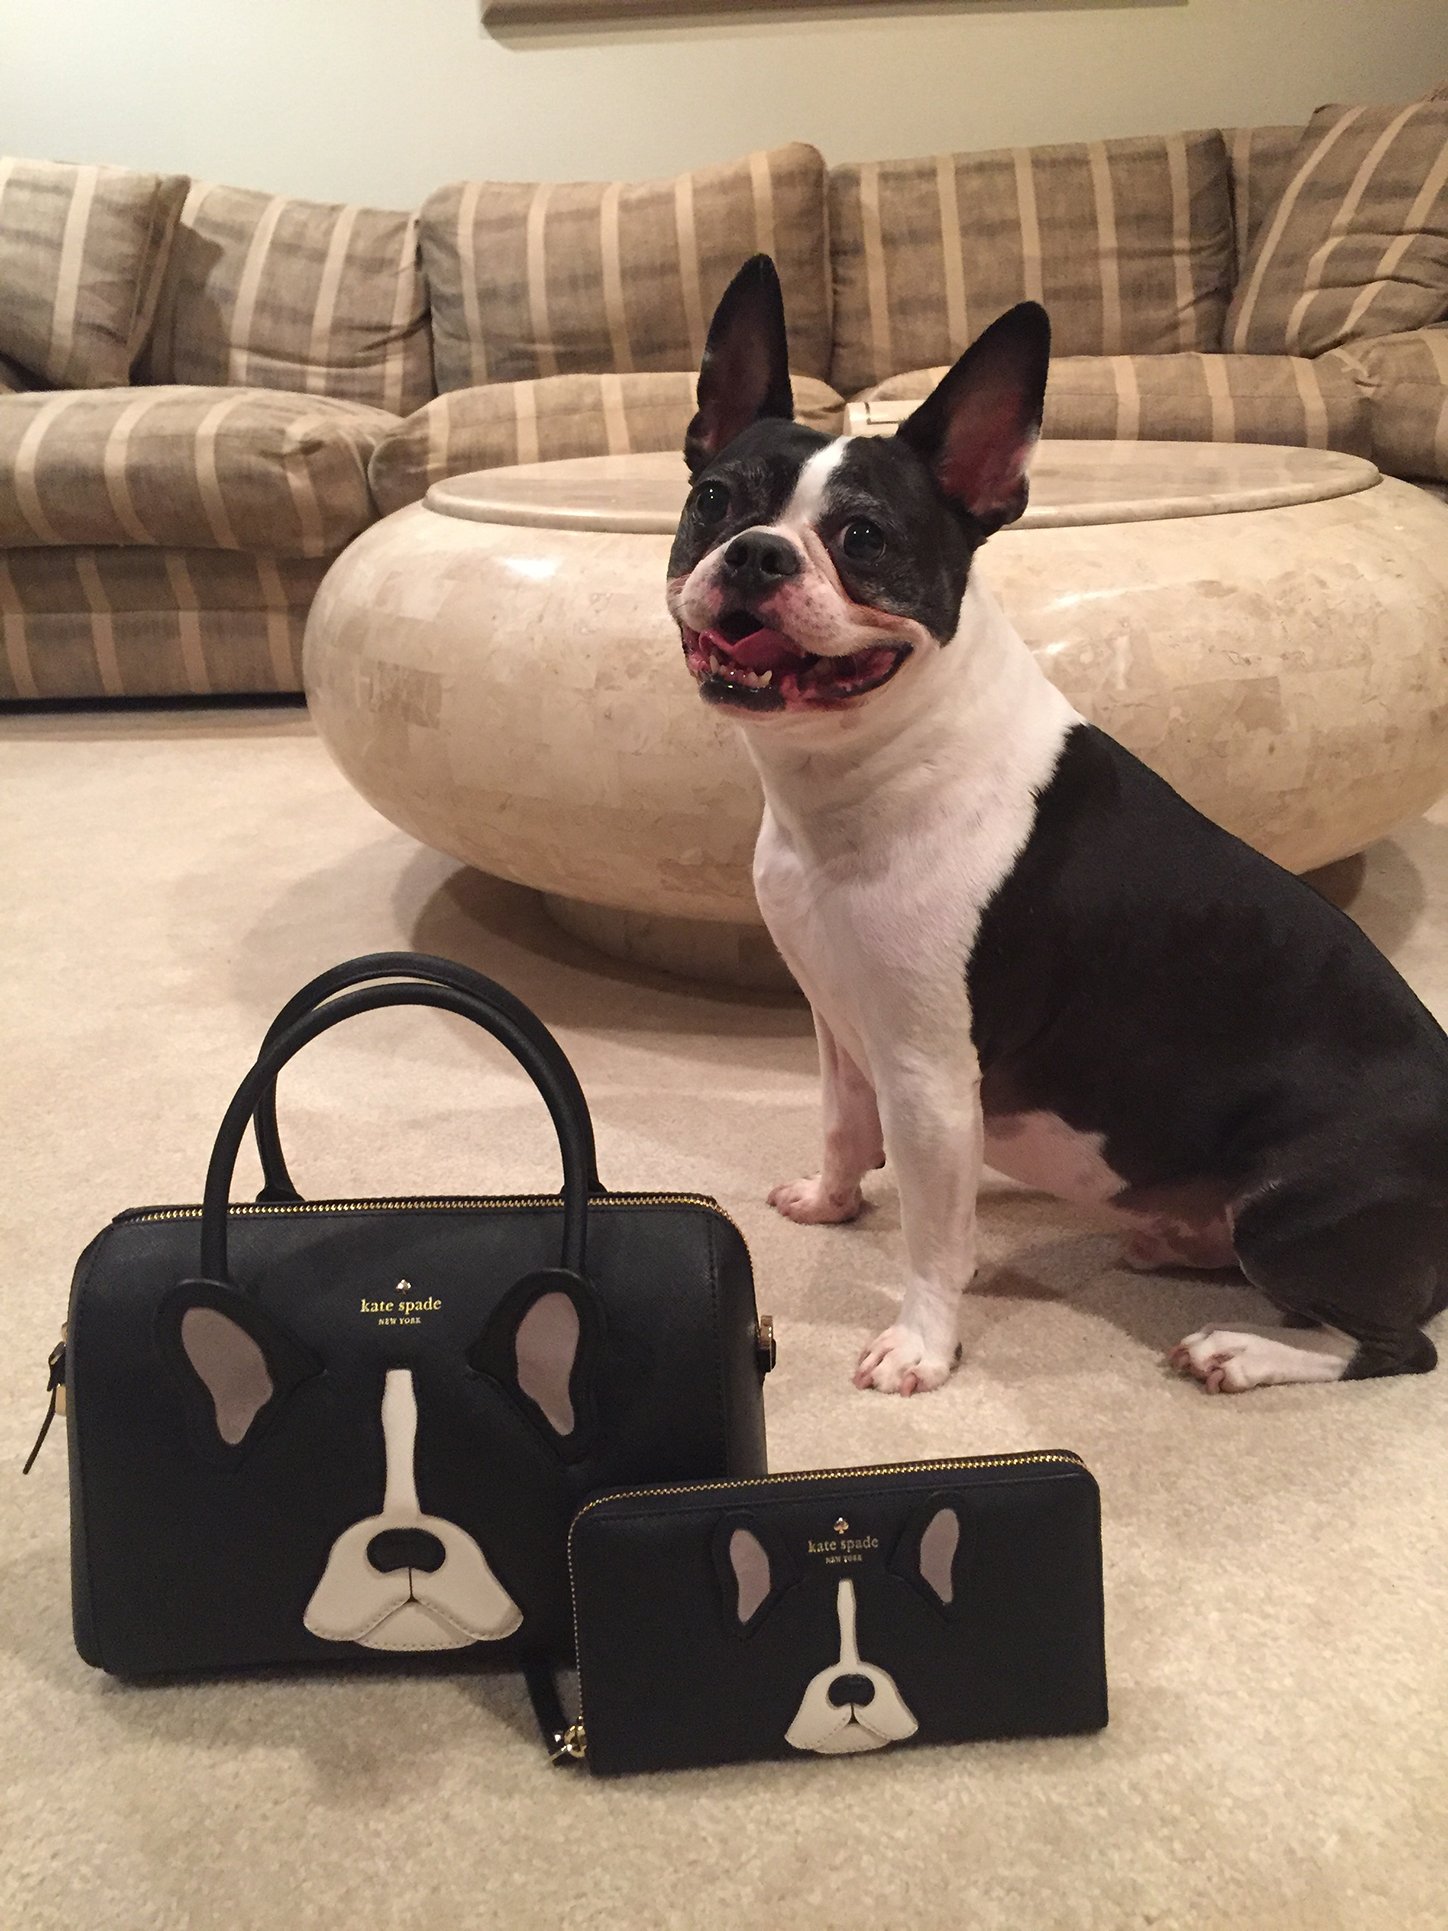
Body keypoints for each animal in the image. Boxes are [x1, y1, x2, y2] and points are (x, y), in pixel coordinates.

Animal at [668, 256, 1448, 1405]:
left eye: (863, 538)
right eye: (713, 500)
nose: (757, 554)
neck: (868, 768)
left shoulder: (930, 1073)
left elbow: (932, 1232)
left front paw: (922, 1344)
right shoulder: (839, 1020)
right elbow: (842, 1123)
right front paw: (830, 1197)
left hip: (1296, 1210)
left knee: (1393, 1344)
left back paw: (1242, 1348)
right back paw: (1176, 1242)